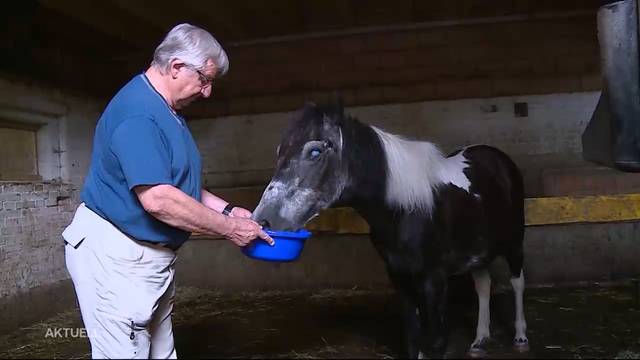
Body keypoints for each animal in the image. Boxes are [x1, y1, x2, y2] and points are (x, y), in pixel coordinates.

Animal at [251, 100, 528, 358]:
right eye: (280, 152)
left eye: (315, 152)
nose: (263, 220)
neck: (408, 209)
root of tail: (497, 158)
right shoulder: (400, 277)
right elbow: (413, 339)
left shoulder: (435, 280)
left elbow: (436, 342)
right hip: (478, 251)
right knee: (483, 285)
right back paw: (480, 340)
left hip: (514, 243)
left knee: (517, 283)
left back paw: (521, 336)